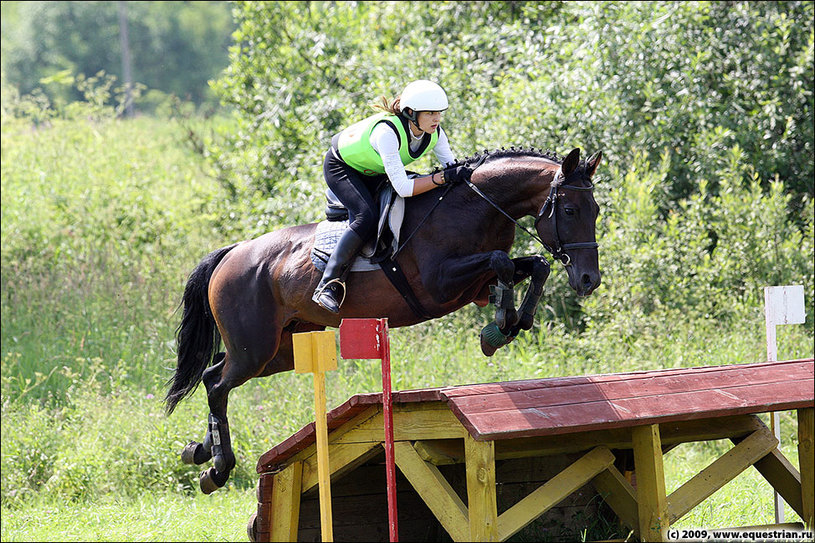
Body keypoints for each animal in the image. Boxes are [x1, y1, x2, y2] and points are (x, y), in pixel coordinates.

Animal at [166, 144, 604, 492]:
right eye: (569, 209)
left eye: (596, 210)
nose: (589, 280)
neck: (477, 206)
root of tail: (234, 252)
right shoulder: (439, 286)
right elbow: (503, 262)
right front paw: (502, 322)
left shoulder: (473, 285)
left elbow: (532, 266)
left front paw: (509, 325)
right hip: (255, 348)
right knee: (218, 383)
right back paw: (218, 468)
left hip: (280, 350)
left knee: (213, 375)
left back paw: (199, 451)